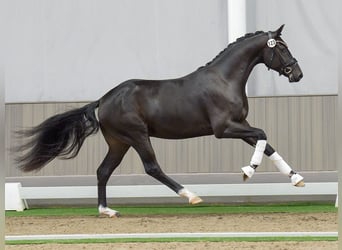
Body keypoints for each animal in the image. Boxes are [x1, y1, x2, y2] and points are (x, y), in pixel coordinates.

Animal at [16, 25, 304, 217]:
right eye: (281, 47)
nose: (297, 74)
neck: (224, 80)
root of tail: (104, 99)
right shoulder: (224, 128)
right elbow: (263, 134)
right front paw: (248, 171)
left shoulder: (240, 125)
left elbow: (266, 143)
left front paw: (296, 178)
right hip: (137, 136)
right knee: (152, 167)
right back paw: (191, 196)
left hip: (119, 142)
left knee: (103, 171)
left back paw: (106, 211)